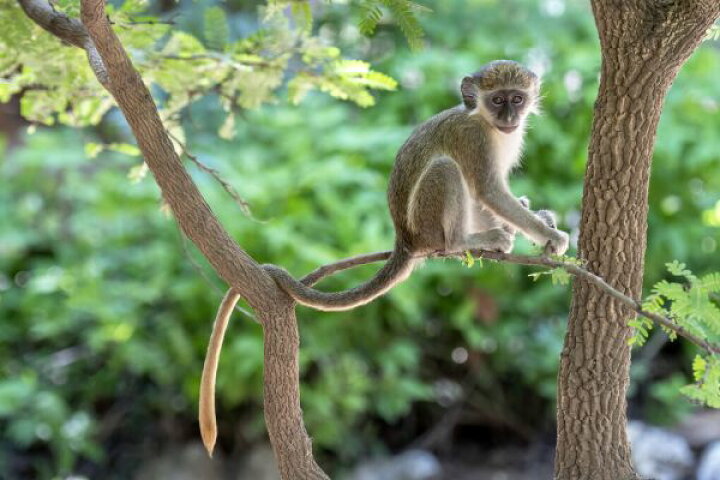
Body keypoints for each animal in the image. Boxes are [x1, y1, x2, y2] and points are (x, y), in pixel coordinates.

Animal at [200, 60, 569, 455]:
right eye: (497, 99)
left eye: (517, 98)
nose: (510, 116)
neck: (484, 122)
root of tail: (406, 239)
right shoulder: (474, 141)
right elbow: (488, 191)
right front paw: (549, 235)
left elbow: (489, 197)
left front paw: (539, 219)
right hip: (427, 224)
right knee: (447, 170)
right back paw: (464, 241)